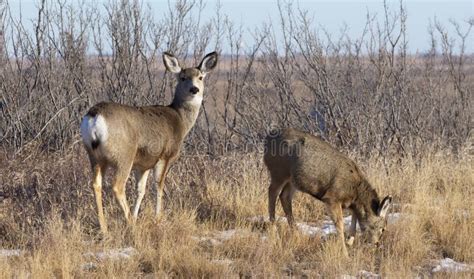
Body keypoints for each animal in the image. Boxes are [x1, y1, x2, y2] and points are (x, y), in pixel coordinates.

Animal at [80, 50, 218, 234]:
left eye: (200, 77)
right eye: (182, 77)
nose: (194, 89)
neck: (180, 120)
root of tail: (95, 116)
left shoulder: (143, 164)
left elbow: (141, 190)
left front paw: (137, 216)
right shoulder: (164, 156)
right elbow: (159, 186)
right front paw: (157, 218)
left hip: (94, 156)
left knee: (96, 184)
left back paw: (105, 227)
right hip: (124, 155)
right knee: (117, 186)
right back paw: (130, 224)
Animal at [262, 129, 392, 256]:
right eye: (382, 228)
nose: (376, 244)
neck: (355, 190)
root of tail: (267, 139)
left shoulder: (349, 203)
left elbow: (354, 216)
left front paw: (349, 240)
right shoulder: (332, 197)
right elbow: (340, 224)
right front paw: (345, 252)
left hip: (293, 180)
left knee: (284, 196)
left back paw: (295, 232)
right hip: (278, 171)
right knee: (272, 192)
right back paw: (274, 230)